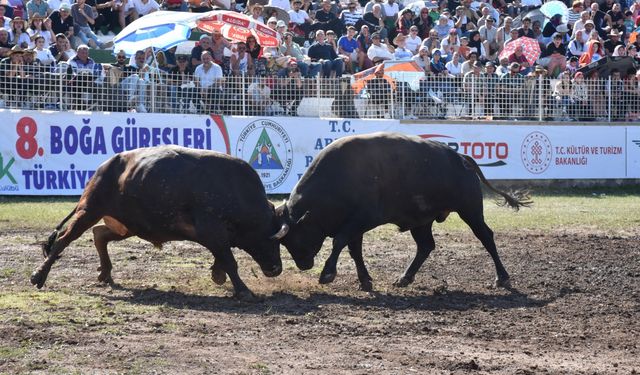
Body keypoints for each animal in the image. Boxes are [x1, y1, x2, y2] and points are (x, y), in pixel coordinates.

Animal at [31, 145, 288, 302]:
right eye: (273, 240)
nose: (276, 268)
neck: (233, 188)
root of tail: (104, 168)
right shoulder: (211, 230)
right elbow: (229, 261)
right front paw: (243, 290)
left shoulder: (218, 236)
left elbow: (223, 257)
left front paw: (218, 275)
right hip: (89, 210)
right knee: (63, 240)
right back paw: (38, 276)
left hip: (127, 225)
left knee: (100, 234)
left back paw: (105, 273)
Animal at [276, 132, 528, 290]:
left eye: (296, 238)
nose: (303, 264)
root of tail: (461, 158)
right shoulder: (355, 226)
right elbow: (354, 250)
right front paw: (365, 281)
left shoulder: (363, 219)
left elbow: (339, 242)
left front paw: (327, 273)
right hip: (422, 221)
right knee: (426, 246)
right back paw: (405, 277)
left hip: (470, 211)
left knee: (486, 237)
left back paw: (502, 278)